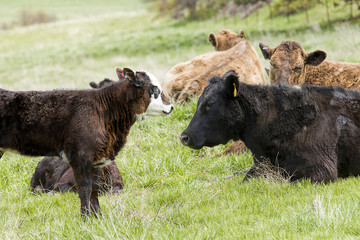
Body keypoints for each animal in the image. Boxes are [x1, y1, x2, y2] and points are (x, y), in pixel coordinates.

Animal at [0, 67, 174, 218]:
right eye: (154, 89)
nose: (171, 106)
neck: (103, 110)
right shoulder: (80, 156)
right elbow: (84, 189)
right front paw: (85, 219)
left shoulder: (96, 159)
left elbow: (94, 189)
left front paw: (98, 217)